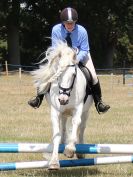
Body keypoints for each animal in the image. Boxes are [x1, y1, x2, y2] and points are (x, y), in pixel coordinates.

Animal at [31, 40, 93, 169]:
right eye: (58, 75)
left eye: (74, 75)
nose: (62, 99)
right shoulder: (55, 111)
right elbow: (57, 134)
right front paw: (54, 162)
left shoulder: (78, 108)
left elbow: (76, 123)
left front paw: (69, 150)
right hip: (63, 112)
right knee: (64, 126)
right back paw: (64, 142)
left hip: (86, 112)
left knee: (81, 128)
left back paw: (80, 152)